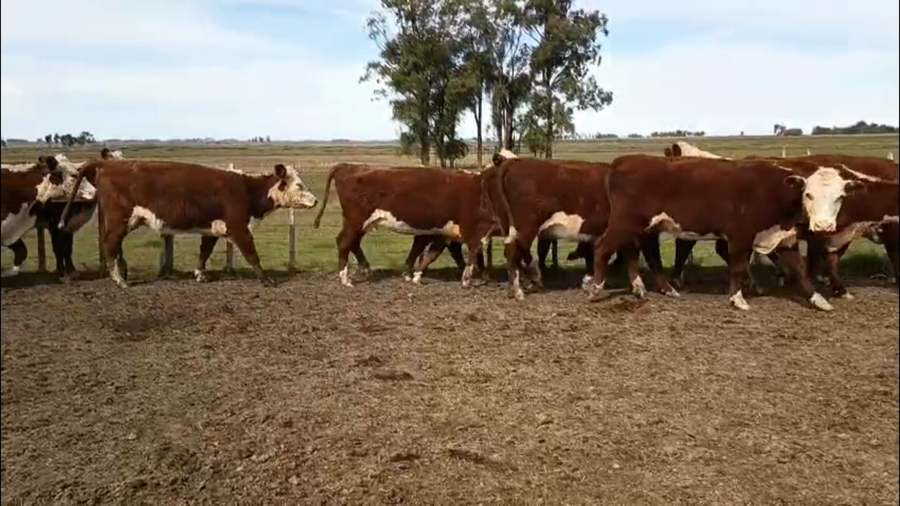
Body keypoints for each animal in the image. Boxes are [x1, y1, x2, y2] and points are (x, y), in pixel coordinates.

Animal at [57, 160, 317, 287]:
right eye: (299, 185)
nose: (315, 200)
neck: (246, 190)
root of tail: (106, 166)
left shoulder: (213, 229)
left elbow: (205, 252)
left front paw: (200, 275)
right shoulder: (239, 229)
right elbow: (253, 255)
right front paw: (267, 280)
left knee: (113, 246)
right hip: (118, 220)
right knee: (110, 245)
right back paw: (120, 281)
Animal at [312, 164, 496, 288]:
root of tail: (349, 166)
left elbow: (421, 249)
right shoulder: (468, 230)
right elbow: (471, 252)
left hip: (359, 224)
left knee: (352, 243)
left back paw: (364, 270)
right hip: (356, 220)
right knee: (344, 243)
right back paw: (346, 279)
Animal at [489, 156, 678, 301]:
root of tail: (517, 162)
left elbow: (628, 257)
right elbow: (652, 259)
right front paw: (664, 289)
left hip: (512, 227)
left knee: (512, 252)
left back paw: (516, 288)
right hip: (526, 225)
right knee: (514, 252)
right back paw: (518, 291)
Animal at [587, 154, 886, 311]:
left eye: (839, 197)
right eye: (808, 194)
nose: (823, 227)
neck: (776, 192)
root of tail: (625, 160)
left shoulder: (783, 239)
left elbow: (801, 271)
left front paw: (818, 299)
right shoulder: (741, 236)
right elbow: (738, 267)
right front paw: (737, 298)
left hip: (647, 226)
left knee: (643, 252)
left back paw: (660, 289)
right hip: (625, 222)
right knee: (603, 248)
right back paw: (596, 289)